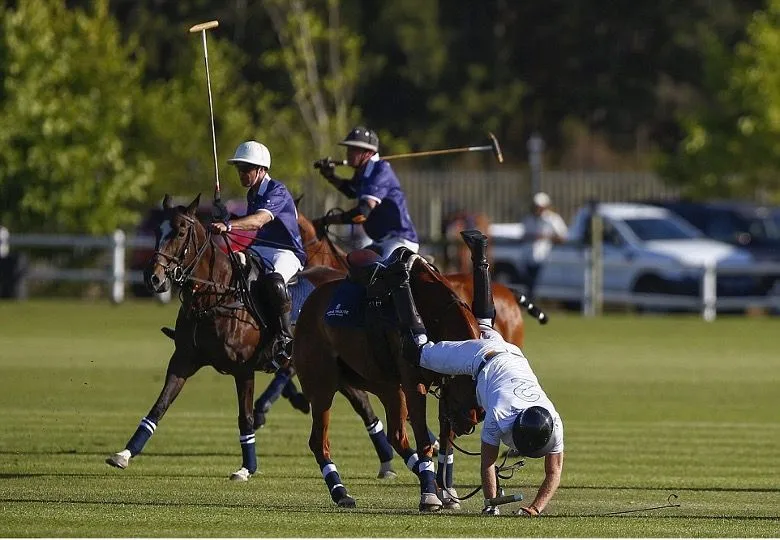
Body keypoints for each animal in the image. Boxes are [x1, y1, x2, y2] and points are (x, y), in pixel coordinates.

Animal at [106, 194, 342, 480]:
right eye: (156, 231)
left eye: (181, 232)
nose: (153, 278)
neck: (215, 295)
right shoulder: (183, 360)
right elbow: (159, 407)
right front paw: (124, 454)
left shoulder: (243, 369)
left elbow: (245, 418)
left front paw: (246, 468)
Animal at [296, 253, 484, 510]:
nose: (472, 420)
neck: (435, 314)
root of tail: (307, 304)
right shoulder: (415, 385)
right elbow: (424, 440)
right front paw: (429, 496)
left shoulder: (442, 386)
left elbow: (445, 441)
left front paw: (445, 491)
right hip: (322, 386)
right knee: (319, 440)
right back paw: (340, 492)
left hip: (385, 386)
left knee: (396, 436)